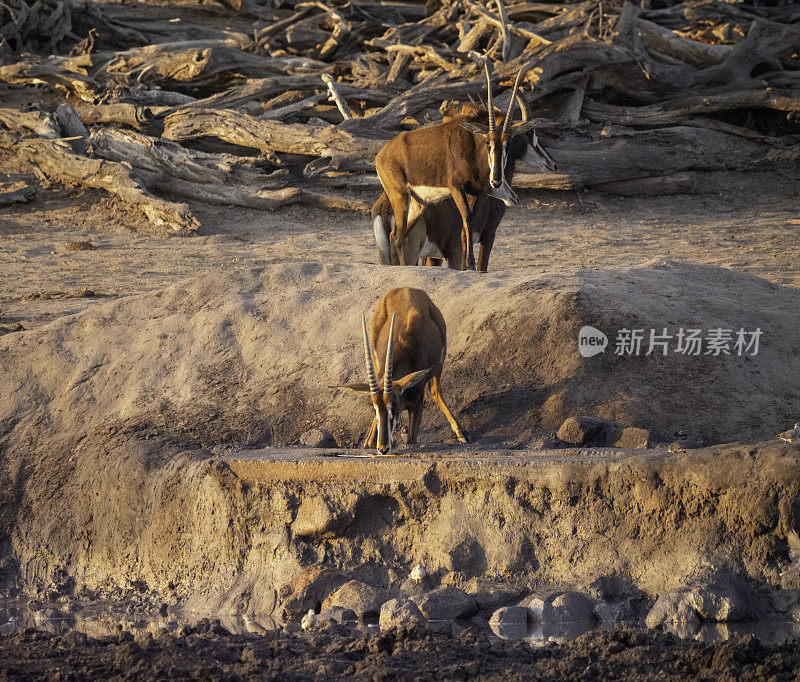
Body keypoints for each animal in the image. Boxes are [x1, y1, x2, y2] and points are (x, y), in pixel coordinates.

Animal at [332, 284, 468, 454]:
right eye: (374, 408)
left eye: (394, 405)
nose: (383, 449)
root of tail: (406, 288)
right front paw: (373, 441)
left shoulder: (417, 404)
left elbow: (412, 440)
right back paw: (370, 441)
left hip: (439, 363)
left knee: (436, 392)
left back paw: (461, 434)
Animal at [376, 61, 556, 268]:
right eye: (487, 141)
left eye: (508, 143)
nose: (496, 181)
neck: (473, 147)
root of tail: (382, 154)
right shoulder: (456, 188)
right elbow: (468, 220)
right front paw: (469, 263)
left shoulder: (474, 192)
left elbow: (467, 223)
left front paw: (467, 262)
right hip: (400, 197)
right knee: (398, 236)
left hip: (417, 203)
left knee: (397, 234)